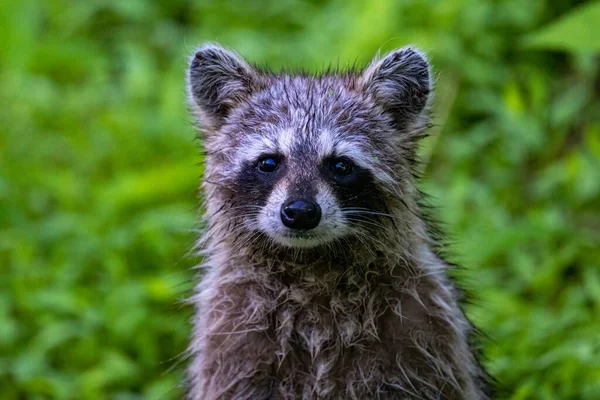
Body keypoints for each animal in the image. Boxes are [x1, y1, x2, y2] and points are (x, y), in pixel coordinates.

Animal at [185, 44, 490, 400]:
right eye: (269, 162)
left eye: (341, 165)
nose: (300, 212)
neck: (311, 265)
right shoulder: (231, 334)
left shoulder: (423, 328)